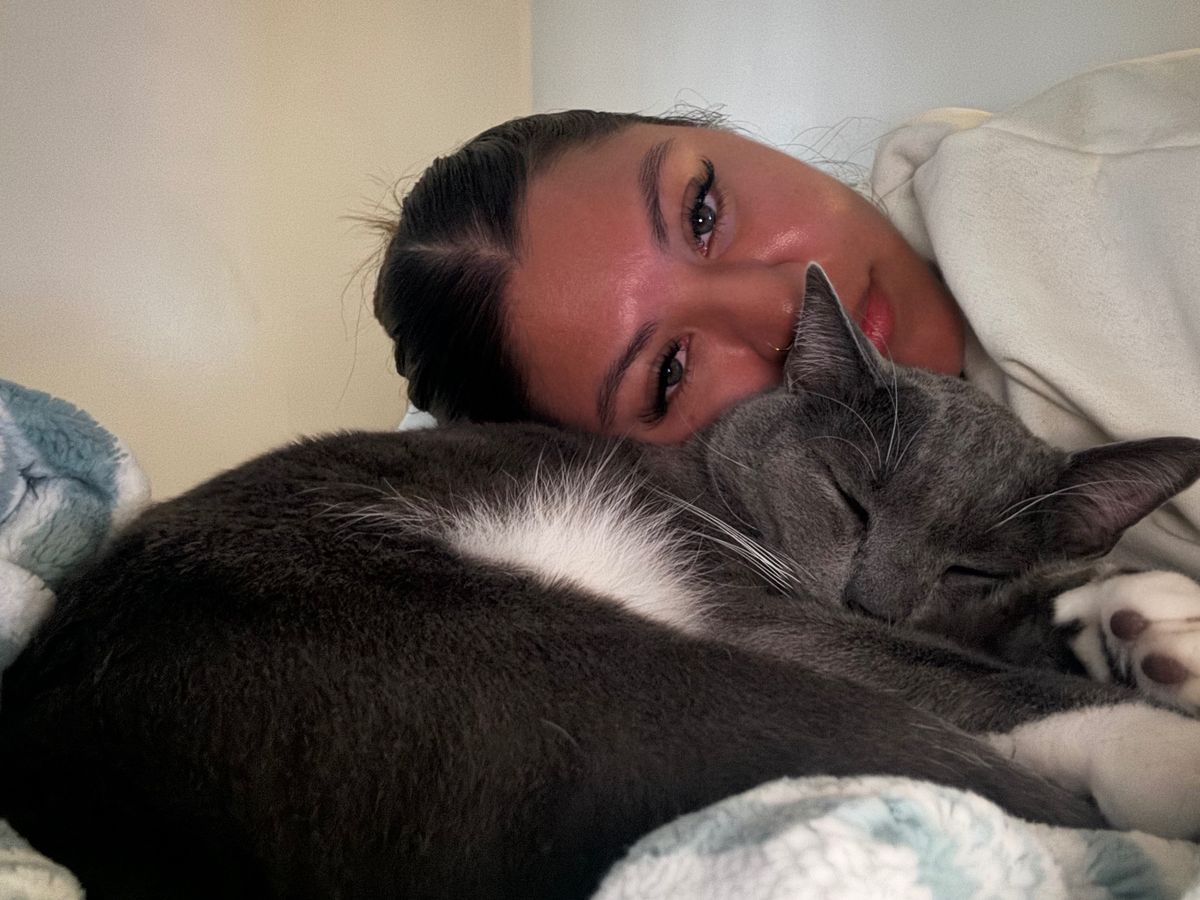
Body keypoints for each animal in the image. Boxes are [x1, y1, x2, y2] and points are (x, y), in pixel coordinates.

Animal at [2, 266, 1200, 900]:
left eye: (973, 566)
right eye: (851, 498)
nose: (867, 596)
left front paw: (1130, 623)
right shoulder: (747, 599)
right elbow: (967, 678)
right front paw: (1149, 702)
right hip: (580, 674)